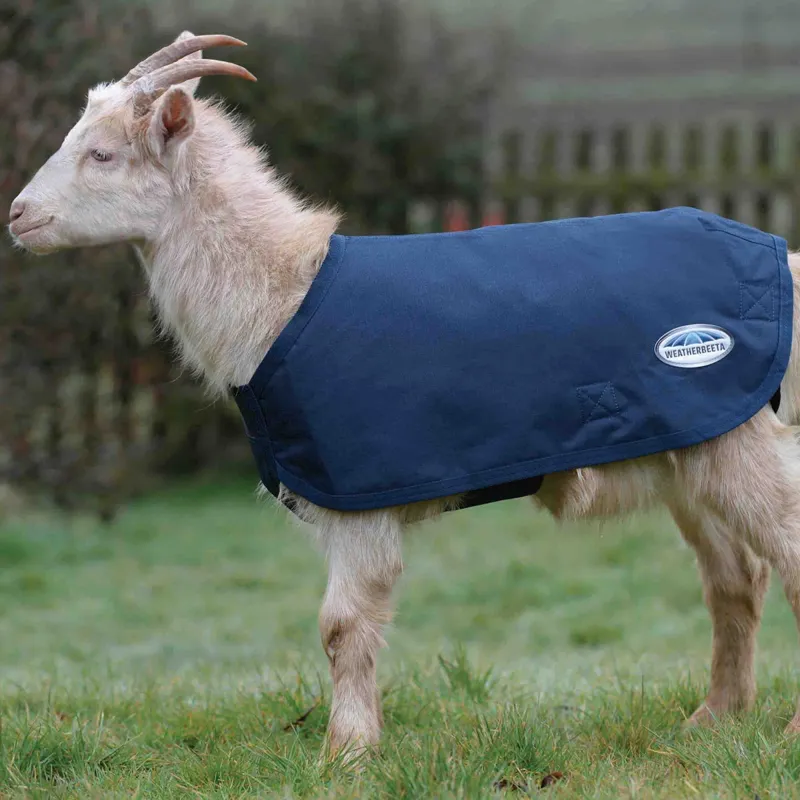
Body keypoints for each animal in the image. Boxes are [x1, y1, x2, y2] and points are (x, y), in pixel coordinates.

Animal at [9, 32, 800, 758]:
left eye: (102, 154)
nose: (17, 216)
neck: (284, 296)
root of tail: (783, 263)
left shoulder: (360, 496)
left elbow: (341, 626)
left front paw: (347, 752)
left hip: (745, 444)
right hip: (690, 448)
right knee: (737, 581)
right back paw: (713, 720)